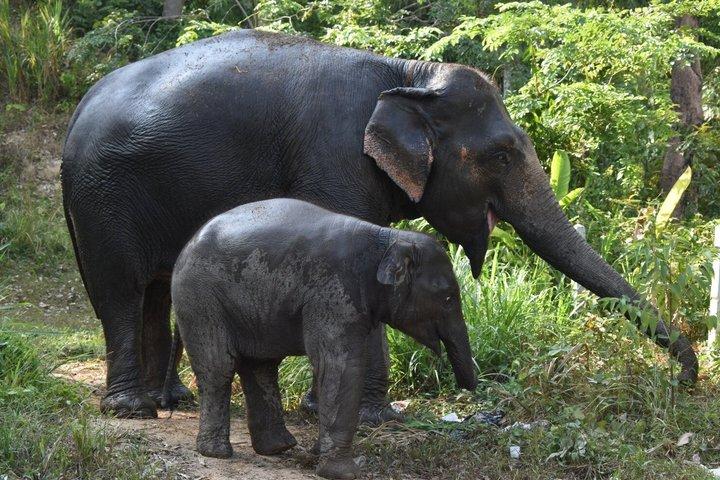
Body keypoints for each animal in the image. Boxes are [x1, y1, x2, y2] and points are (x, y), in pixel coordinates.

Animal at [61, 29, 698, 420]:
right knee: (120, 291)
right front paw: (368, 416)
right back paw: (131, 409)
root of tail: (76, 113)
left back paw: (170, 401)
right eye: (500, 155)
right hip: (103, 198)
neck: (407, 76)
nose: (686, 380)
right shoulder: (334, 159)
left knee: (156, 290)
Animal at [171, 198, 477, 479]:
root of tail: (186, 245)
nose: (467, 390)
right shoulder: (333, 292)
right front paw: (341, 473)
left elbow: (329, 368)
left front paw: (317, 454)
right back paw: (217, 452)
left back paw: (278, 448)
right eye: (448, 298)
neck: (387, 239)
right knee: (219, 367)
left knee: (261, 365)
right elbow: (340, 366)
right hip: (200, 299)